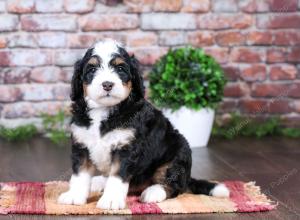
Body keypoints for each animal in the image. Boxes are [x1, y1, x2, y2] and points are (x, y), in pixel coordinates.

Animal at [57, 39, 229, 210]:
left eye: (120, 68)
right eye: (92, 69)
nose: (107, 84)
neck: (104, 110)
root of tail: (188, 176)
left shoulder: (126, 148)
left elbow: (117, 176)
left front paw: (111, 200)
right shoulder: (81, 144)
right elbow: (80, 174)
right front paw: (74, 196)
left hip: (178, 153)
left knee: (173, 185)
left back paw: (153, 192)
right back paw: (99, 182)